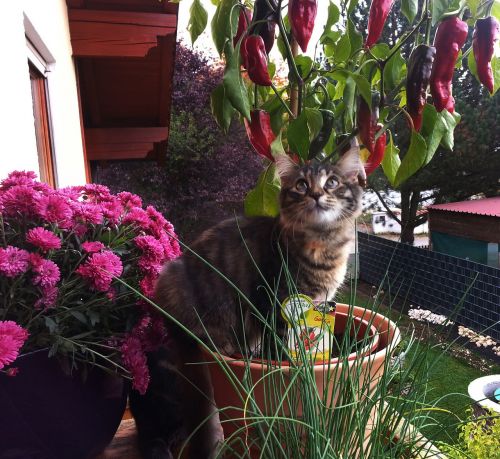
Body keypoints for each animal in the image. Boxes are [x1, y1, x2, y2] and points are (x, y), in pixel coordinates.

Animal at [129, 147, 364, 459]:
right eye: (301, 185)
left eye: (333, 183)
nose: (315, 194)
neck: (323, 243)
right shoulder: (275, 302)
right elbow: (281, 346)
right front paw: (288, 363)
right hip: (178, 286)